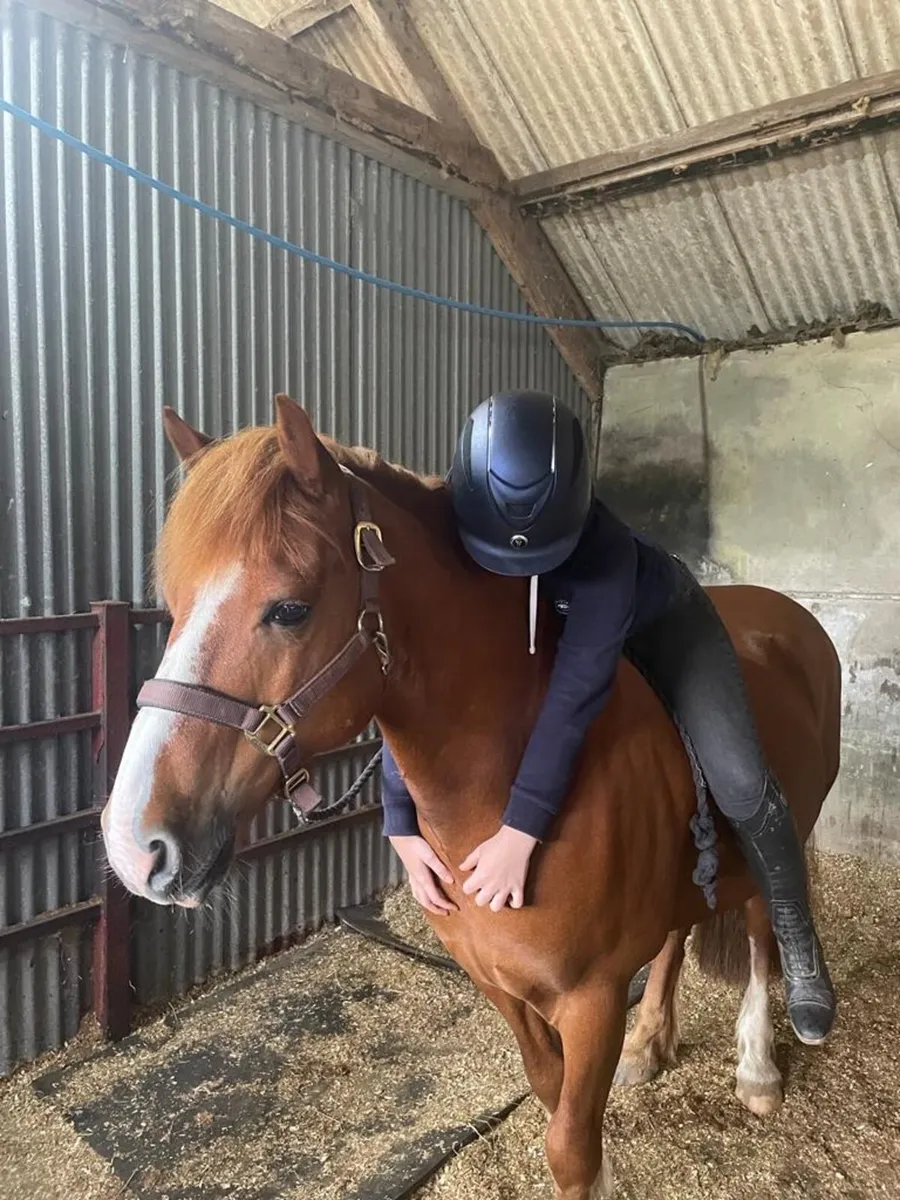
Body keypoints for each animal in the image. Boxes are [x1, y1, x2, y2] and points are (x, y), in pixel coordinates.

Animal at [101, 395, 842, 1200]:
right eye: (174, 603)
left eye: (290, 609)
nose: (133, 844)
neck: (497, 794)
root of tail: (789, 616)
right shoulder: (502, 987)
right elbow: (551, 1095)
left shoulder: (593, 1000)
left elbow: (570, 1146)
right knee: (682, 926)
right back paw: (651, 1045)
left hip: (774, 818)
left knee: (763, 921)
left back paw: (761, 1065)